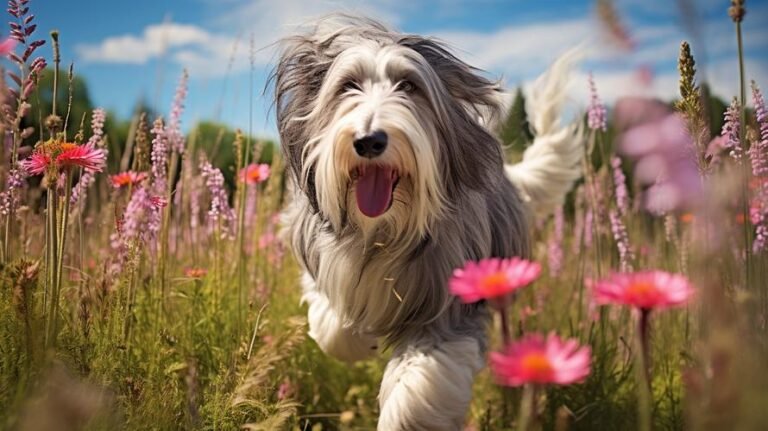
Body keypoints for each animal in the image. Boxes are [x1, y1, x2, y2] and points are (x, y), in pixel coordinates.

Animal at [274, 14, 584, 431]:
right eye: (348, 86)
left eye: (409, 86)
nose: (369, 141)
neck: (384, 231)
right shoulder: (316, 253)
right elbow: (332, 324)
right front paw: (360, 337)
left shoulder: (448, 304)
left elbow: (419, 382)